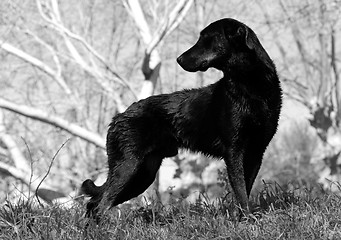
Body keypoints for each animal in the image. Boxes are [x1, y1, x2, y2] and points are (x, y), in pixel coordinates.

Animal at [81, 17, 280, 218]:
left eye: (206, 38)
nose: (178, 59)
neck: (251, 85)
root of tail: (118, 117)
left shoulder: (256, 151)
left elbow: (245, 190)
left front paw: (244, 218)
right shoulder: (234, 151)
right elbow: (241, 193)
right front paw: (246, 219)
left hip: (141, 175)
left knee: (94, 204)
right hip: (128, 168)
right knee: (100, 204)